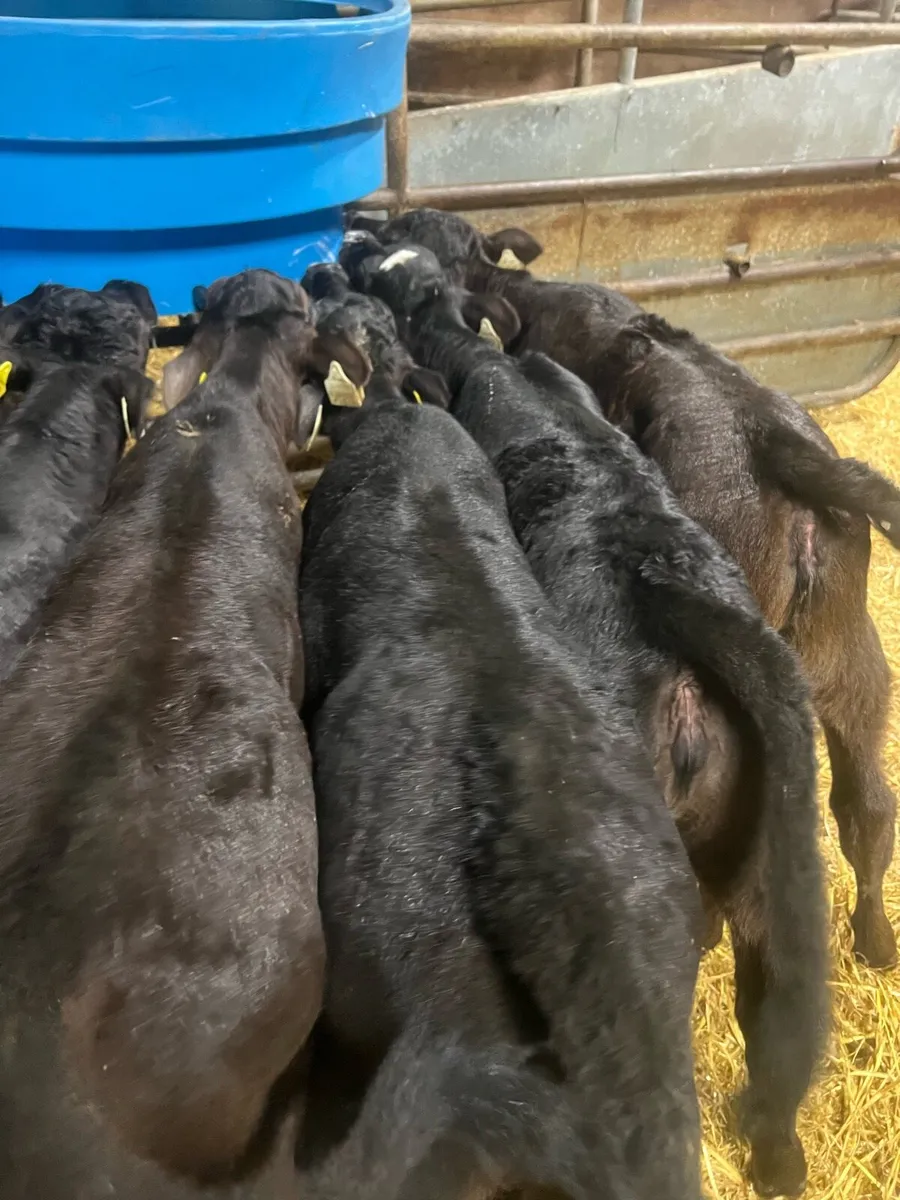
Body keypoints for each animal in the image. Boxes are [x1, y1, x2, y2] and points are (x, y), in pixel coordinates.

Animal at [353, 206, 900, 974]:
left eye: (405, 228)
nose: (359, 230)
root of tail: (775, 439)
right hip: (850, 656)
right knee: (868, 805)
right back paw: (876, 939)